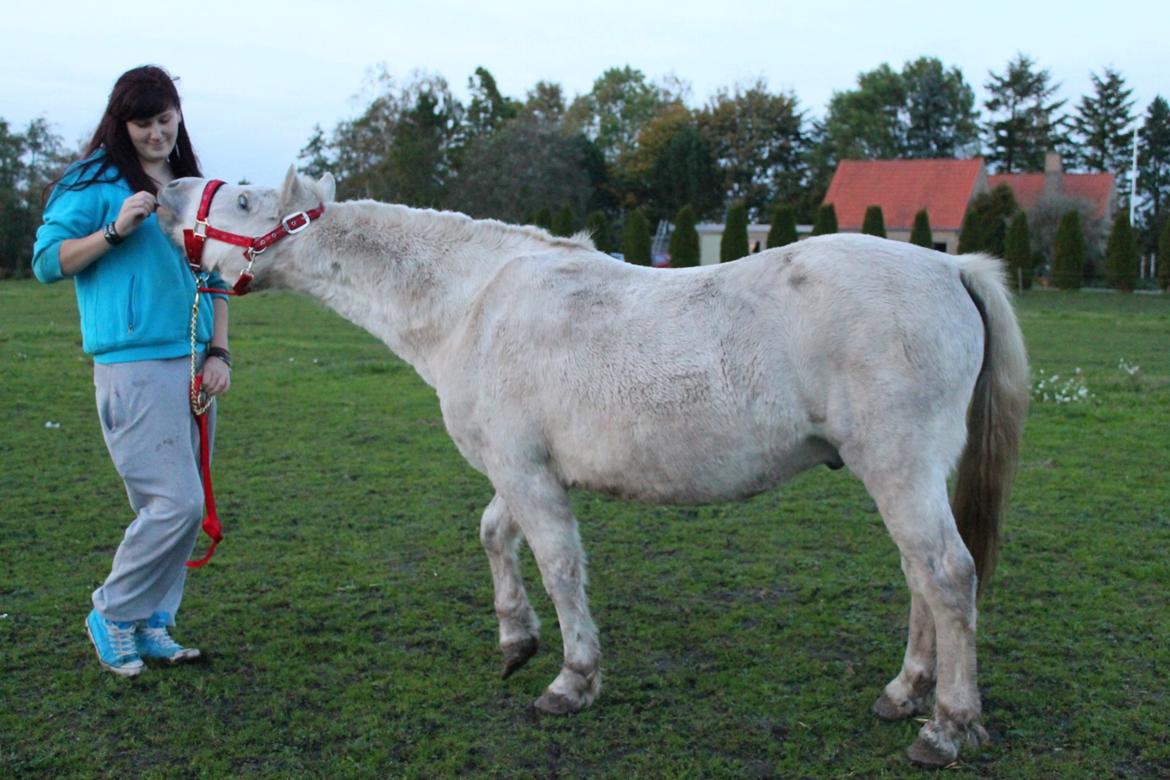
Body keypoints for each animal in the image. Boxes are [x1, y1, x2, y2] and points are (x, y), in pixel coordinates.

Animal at [160, 171, 1029, 767]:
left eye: (244, 199)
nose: (167, 192)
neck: (474, 305)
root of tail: (950, 269)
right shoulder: (521, 470)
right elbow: (494, 536)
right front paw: (516, 639)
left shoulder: (526, 472)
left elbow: (558, 566)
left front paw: (573, 680)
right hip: (903, 474)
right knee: (922, 578)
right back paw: (904, 693)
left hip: (899, 467)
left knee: (947, 576)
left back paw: (948, 726)